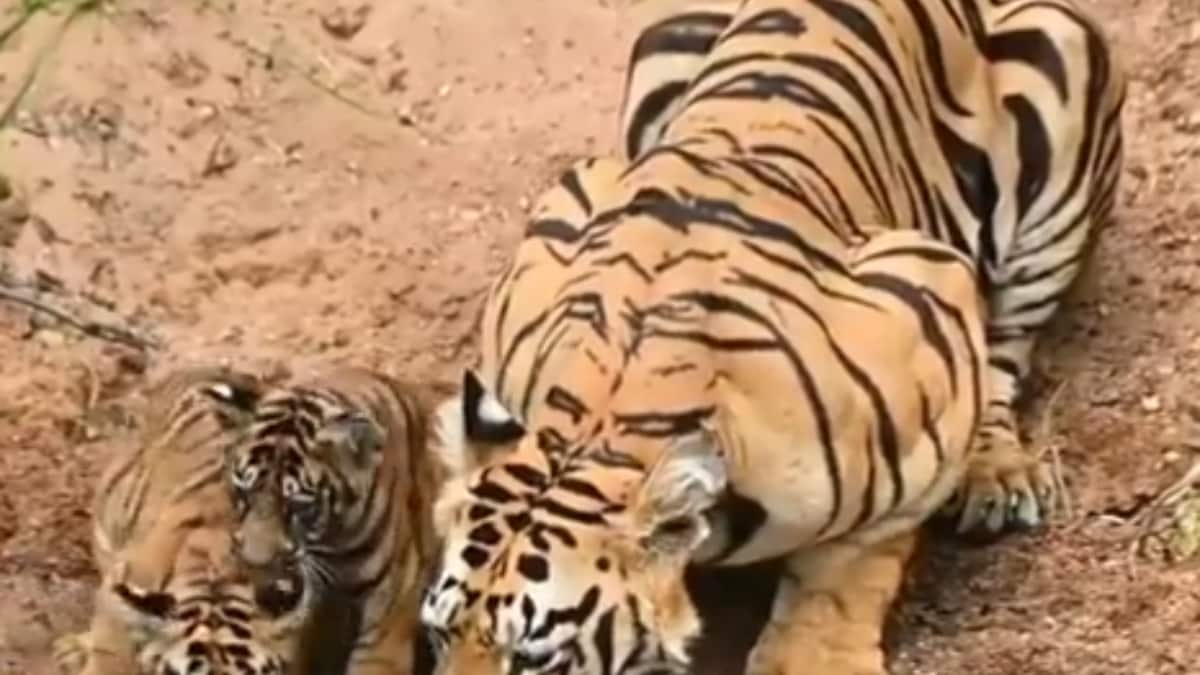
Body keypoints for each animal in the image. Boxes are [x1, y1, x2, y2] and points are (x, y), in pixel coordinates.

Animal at [422, 1, 1123, 672]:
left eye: (534, 659)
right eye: (437, 634)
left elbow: (854, 560)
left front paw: (814, 654)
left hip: (1062, 80)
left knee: (1008, 344)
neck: (597, 422)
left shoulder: (926, 307)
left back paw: (996, 475)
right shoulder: (569, 207)